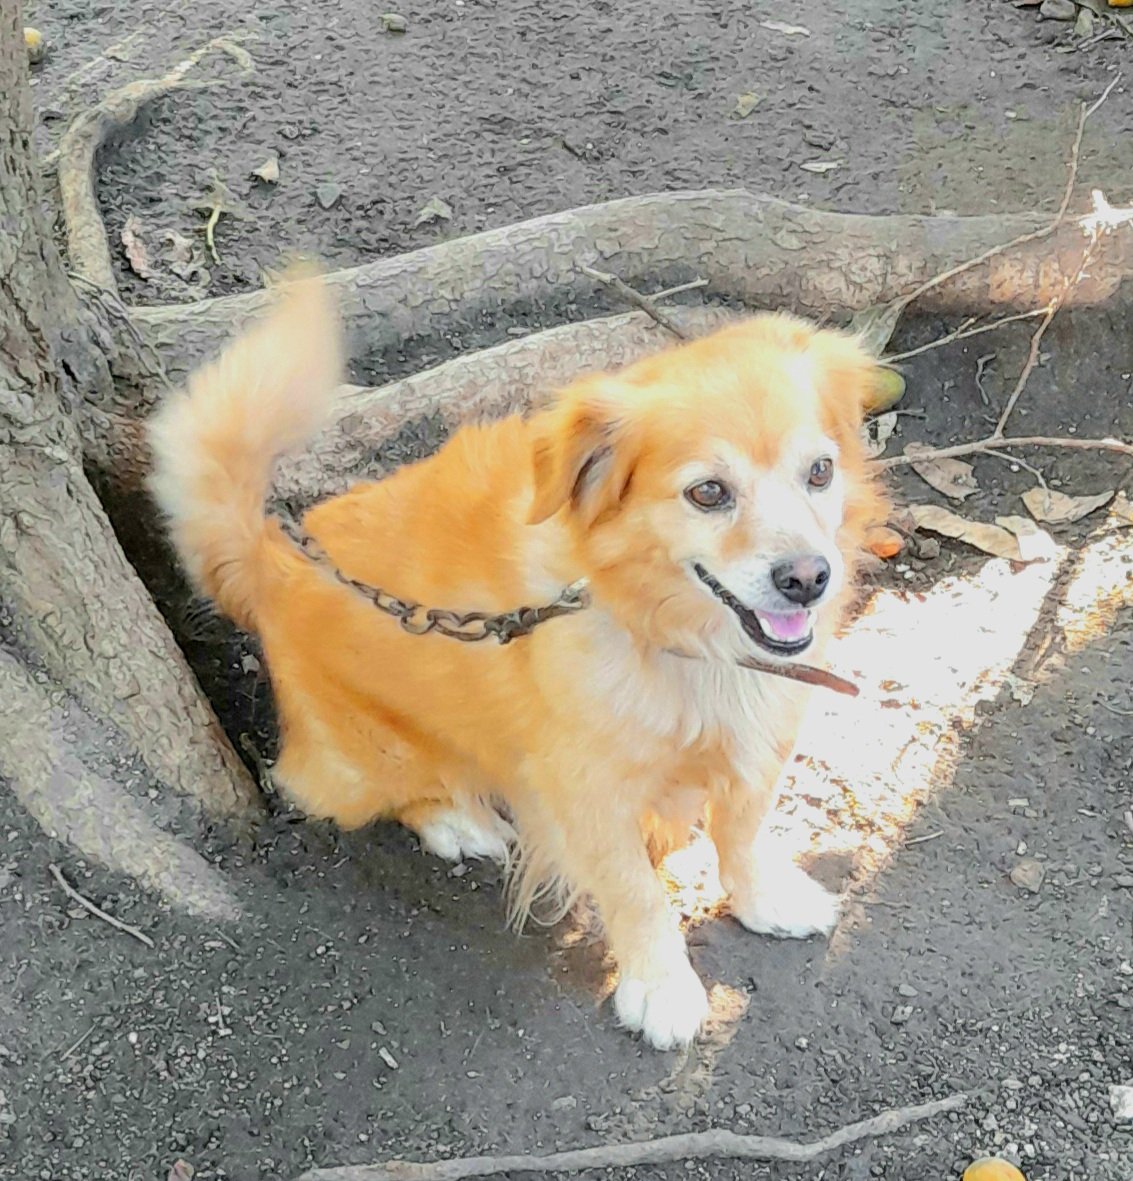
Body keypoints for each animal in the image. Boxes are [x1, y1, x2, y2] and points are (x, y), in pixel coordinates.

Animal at [150, 271, 888, 1048]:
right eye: (708, 492)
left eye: (819, 472)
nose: (808, 578)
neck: (683, 641)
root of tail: (273, 559)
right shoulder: (587, 792)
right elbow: (636, 893)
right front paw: (660, 984)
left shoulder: (760, 748)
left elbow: (741, 832)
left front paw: (762, 899)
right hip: (364, 763)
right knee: (357, 787)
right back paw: (456, 821)